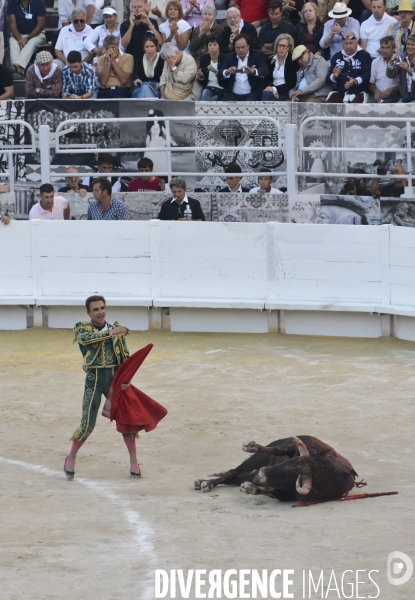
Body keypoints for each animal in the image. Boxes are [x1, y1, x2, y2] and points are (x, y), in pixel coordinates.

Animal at [195, 436, 360, 502]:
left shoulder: (288, 496)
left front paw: (249, 488)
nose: (262, 473)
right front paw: (250, 445)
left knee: (234, 477)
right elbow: (276, 450)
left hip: (250, 472)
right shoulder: (290, 450)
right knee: (232, 472)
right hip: (255, 460)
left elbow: (269, 492)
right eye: (288, 462)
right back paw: (205, 483)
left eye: (288, 477)